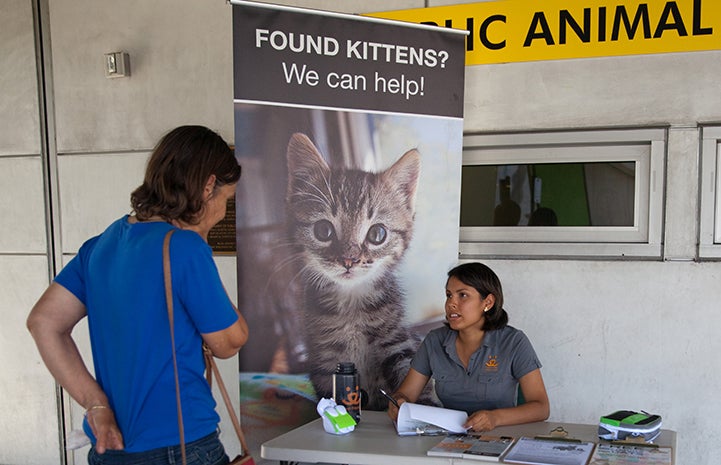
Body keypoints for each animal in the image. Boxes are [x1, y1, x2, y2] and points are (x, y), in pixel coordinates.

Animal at [284, 131, 424, 410]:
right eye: (323, 231)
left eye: (377, 234)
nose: (349, 260)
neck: (351, 306)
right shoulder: (324, 360)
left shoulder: (398, 343)